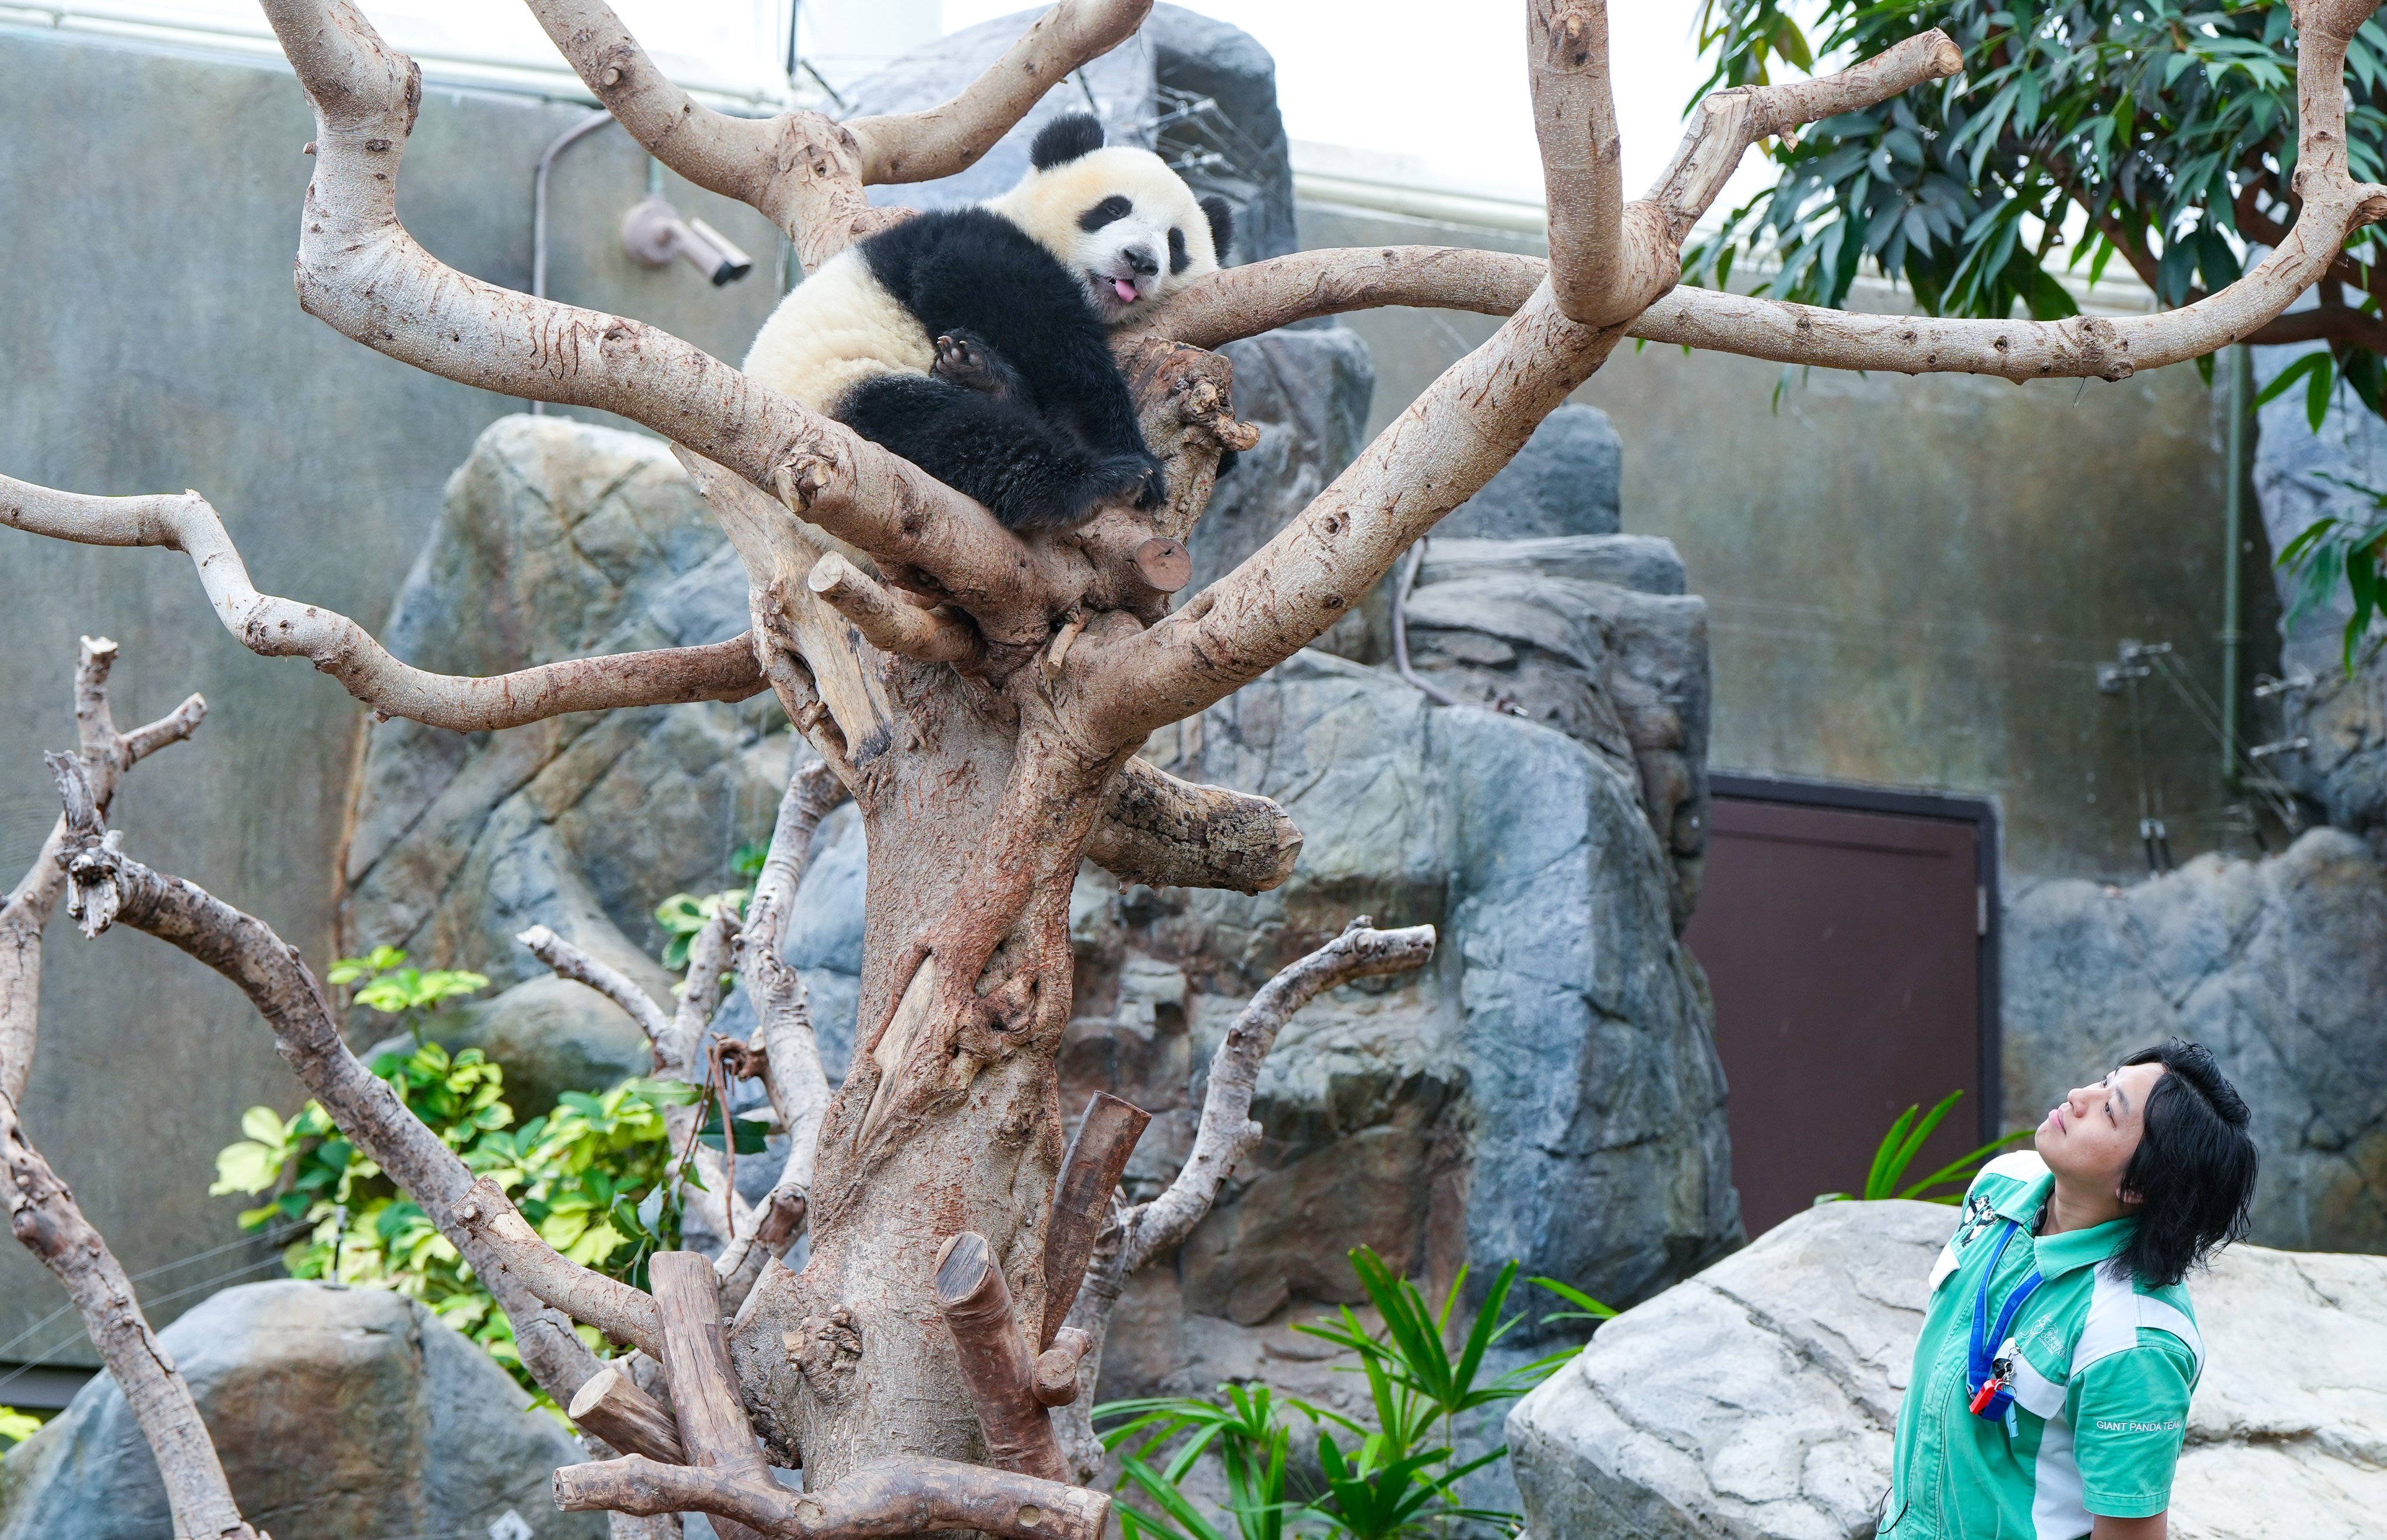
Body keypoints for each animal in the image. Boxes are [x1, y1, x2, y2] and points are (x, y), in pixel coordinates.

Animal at [741, 112, 1235, 533]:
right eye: (1114, 208)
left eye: (1176, 243)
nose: (1141, 260)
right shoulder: (971, 241)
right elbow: (1037, 328)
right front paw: (1129, 448)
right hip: (841, 397)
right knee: (953, 431)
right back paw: (1089, 485)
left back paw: (982, 374)